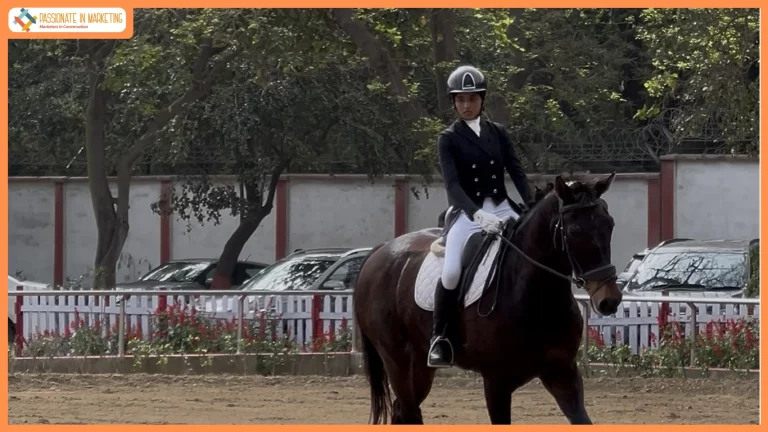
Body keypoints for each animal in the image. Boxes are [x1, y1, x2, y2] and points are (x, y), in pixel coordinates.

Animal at [352, 173, 623, 425]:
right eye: (575, 232)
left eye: (610, 224)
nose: (609, 300)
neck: (536, 297)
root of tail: (380, 250)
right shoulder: (496, 381)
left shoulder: (563, 373)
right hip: (396, 359)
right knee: (408, 409)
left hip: (419, 363)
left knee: (404, 410)